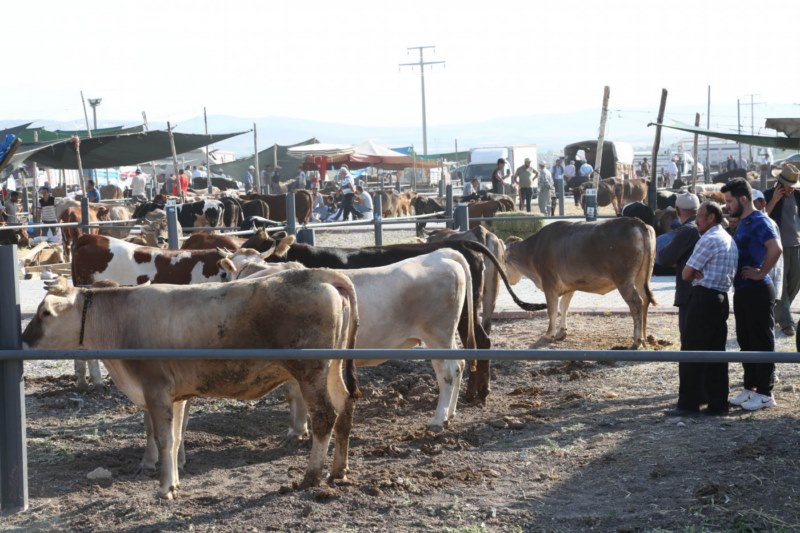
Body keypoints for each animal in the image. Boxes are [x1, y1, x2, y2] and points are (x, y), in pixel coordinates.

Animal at [21, 272, 360, 500]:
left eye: (45, 313)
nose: (24, 340)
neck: (120, 321)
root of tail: (317, 274)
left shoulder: (156, 390)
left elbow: (164, 439)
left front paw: (163, 490)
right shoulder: (176, 395)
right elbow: (175, 437)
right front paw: (173, 482)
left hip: (310, 372)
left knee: (325, 415)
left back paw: (311, 477)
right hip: (332, 368)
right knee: (345, 404)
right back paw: (338, 470)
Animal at [506, 217, 656, 350]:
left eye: (504, 260)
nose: (508, 279)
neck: (533, 250)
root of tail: (634, 221)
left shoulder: (549, 283)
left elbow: (552, 310)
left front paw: (549, 334)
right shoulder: (570, 285)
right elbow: (564, 307)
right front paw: (561, 332)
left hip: (624, 280)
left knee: (636, 303)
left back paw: (637, 341)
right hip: (642, 277)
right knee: (645, 300)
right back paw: (644, 339)